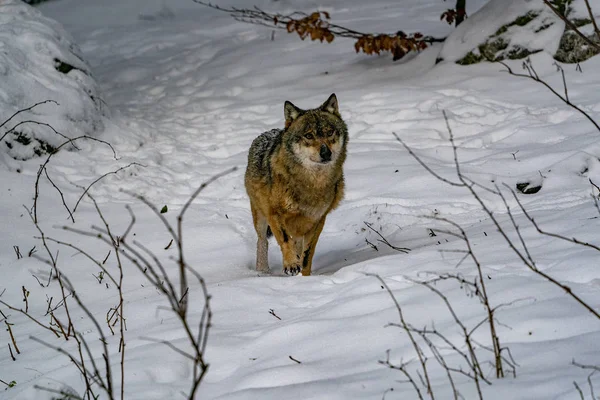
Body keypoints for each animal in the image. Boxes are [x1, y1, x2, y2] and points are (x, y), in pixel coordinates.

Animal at [244, 94, 346, 276]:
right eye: (309, 136)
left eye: (329, 132)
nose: (326, 152)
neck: (311, 184)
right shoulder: (274, 213)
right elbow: (285, 240)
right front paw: (291, 265)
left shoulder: (318, 219)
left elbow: (307, 253)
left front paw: (304, 275)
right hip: (260, 216)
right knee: (262, 241)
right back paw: (263, 271)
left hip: (300, 225)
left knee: (297, 243)